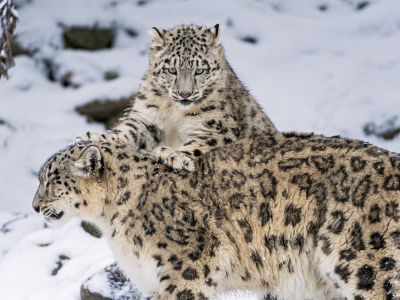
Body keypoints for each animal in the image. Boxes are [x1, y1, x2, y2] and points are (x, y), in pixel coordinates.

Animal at [76, 24, 276, 171]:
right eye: (172, 70)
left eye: (199, 70)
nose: (185, 94)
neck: (174, 112)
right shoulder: (147, 119)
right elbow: (127, 131)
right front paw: (94, 137)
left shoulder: (217, 128)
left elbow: (201, 144)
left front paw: (174, 156)